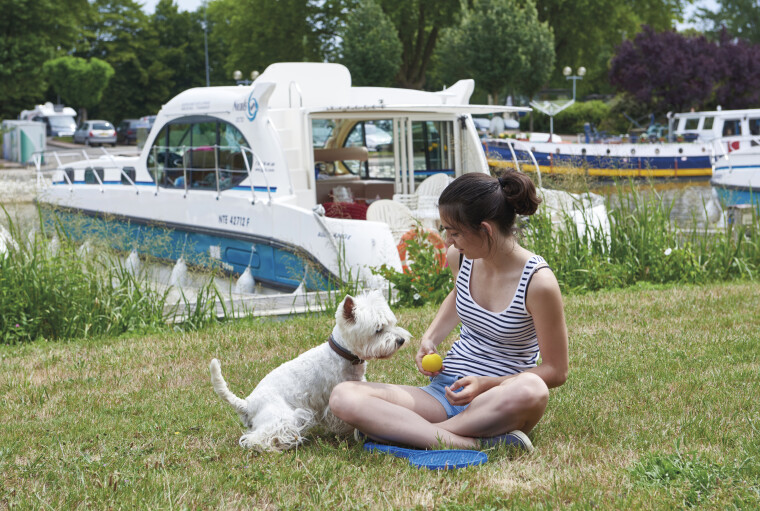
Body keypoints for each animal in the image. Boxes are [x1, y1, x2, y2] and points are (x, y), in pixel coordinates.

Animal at [208, 292, 410, 452]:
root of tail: (247, 403)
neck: (343, 354)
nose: (400, 340)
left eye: (391, 323)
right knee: (256, 438)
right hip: (281, 417)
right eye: (378, 329)